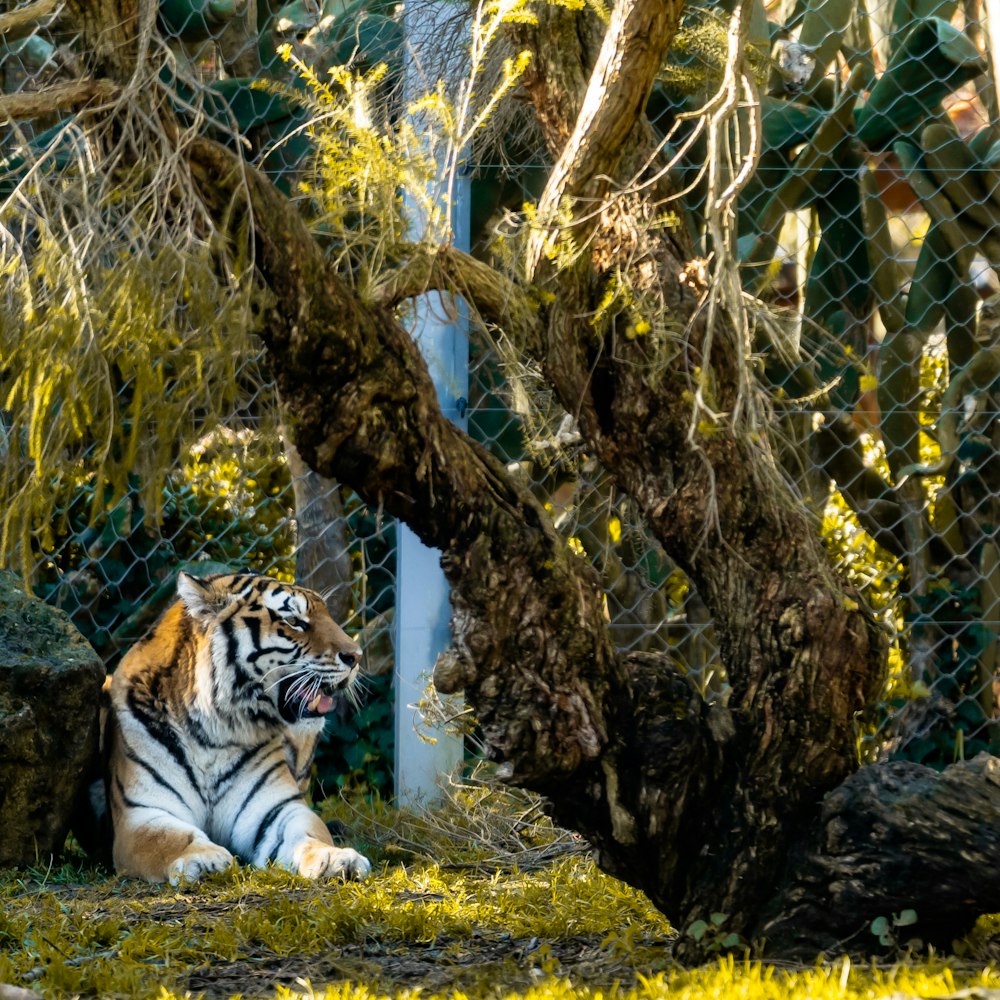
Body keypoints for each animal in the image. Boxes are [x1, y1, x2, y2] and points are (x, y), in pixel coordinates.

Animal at [100, 568, 372, 888]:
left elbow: (309, 832)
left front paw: (335, 858)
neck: (212, 731)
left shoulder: (277, 808)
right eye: (294, 621)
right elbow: (170, 838)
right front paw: (204, 859)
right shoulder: (142, 814)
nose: (356, 656)